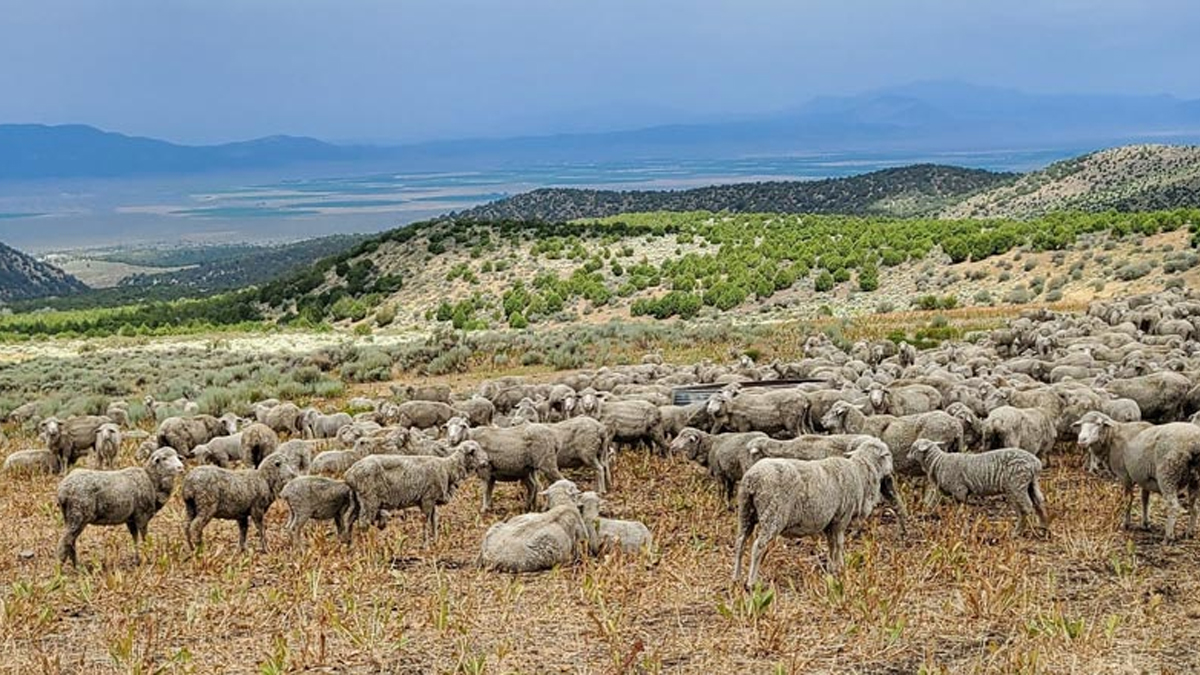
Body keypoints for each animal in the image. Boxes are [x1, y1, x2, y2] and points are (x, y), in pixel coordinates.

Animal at [55, 449, 183, 564]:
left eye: (177, 456)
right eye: (164, 458)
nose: (181, 468)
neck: (151, 481)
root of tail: (62, 490)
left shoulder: (131, 519)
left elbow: (135, 538)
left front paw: (137, 559)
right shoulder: (142, 516)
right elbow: (144, 538)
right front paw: (148, 558)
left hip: (70, 517)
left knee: (70, 542)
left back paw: (76, 566)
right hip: (78, 514)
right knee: (64, 542)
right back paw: (61, 568)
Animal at [343, 439, 487, 542]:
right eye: (474, 451)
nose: (486, 462)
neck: (448, 469)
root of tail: (349, 474)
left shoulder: (432, 500)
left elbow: (434, 520)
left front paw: (435, 540)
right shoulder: (427, 499)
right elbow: (426, 521)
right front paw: (425, 543)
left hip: (358, 500)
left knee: (350, 520)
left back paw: (349, 543)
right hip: (369, 500)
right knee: (364, 523)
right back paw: (367, 546)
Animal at [729, 439, 902, 581]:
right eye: (888, 455)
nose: (893, 471)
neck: (860, 473)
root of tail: (753, 477)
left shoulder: (830, 521)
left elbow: (831, 544)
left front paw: (832, 568)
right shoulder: (841, 518)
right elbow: (839, 543)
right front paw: (840, 568)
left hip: (746, 511)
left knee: (740, 542)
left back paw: (736, 578)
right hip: (773, 513)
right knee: (758, 546)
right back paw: (751, 583)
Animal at [907, 439, 1051, 533]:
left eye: (913, 448)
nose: (907, 456)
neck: (938, 462)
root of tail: (1035, 463)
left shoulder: (959, 490)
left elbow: (960, 512)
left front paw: (961, 528)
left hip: (1017, 484)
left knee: (1026, 507)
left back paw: (1018, 531)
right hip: (1031, 483)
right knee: (1038, 502)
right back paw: (1043, 526)